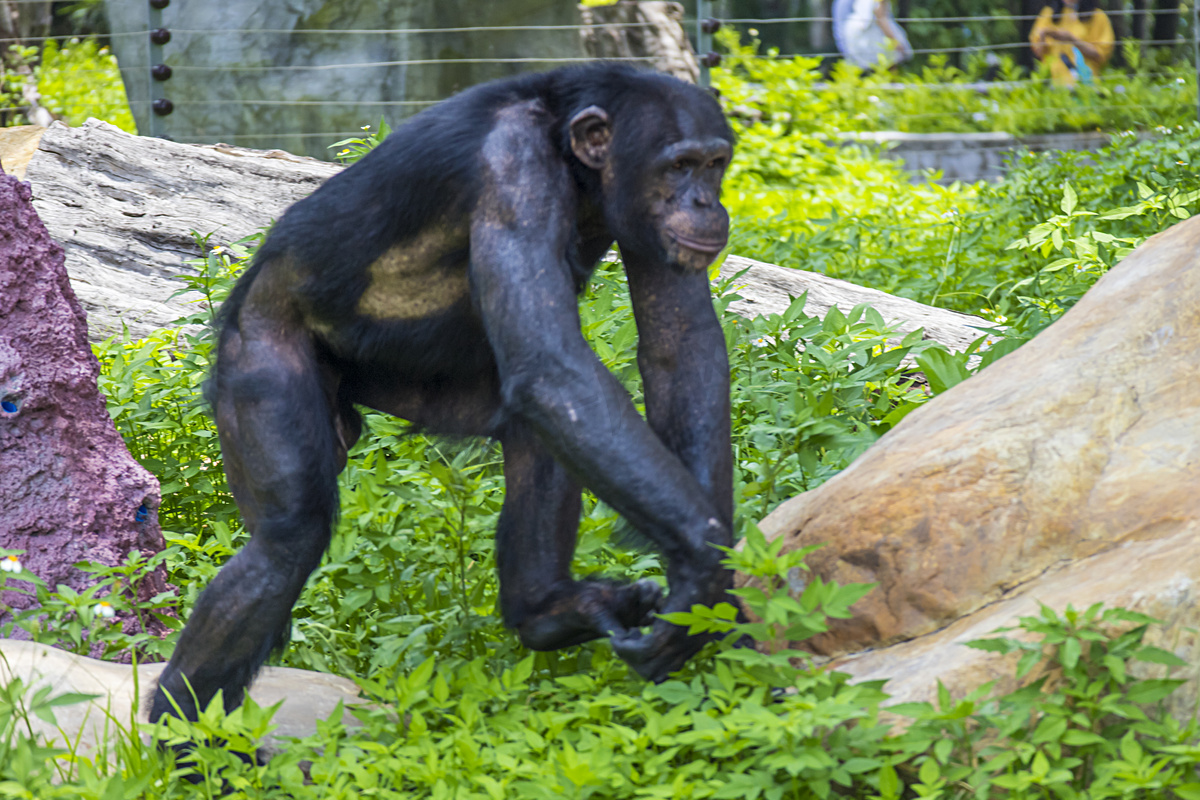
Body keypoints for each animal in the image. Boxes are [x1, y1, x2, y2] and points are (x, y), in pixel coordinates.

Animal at [146, 64, 734, 724]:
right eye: (678, 167)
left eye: (714, 164)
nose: (705, 202)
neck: (569, 153)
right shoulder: (514, 171)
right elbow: (552, 365)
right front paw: (705, 570)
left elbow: (678, 345)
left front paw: (715, 579)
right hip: (260, 354)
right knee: (285, 540)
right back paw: (182, 735)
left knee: (542, 428)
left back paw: (546, 612)